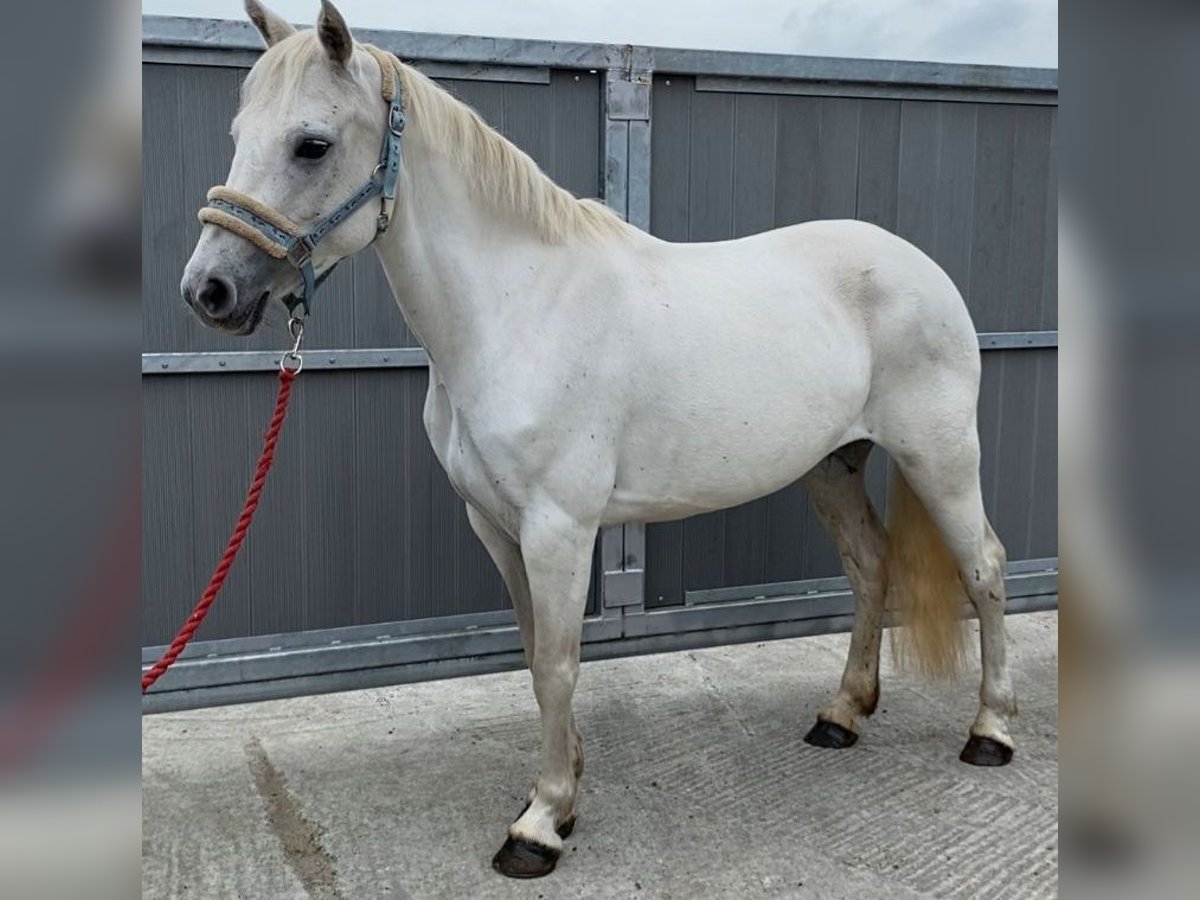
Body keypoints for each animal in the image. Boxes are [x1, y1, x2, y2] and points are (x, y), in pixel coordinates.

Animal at [177, 0, 1017, 873]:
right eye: (240, 132)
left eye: (312, 143)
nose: (209, 290)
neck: (518, 310)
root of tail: (922, 269)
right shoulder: (495, 524)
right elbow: (532, 653)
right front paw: (563, 786)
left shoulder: (560, 528)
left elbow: (558, 664)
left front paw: (541, 823)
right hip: (832, 465)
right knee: (869, 568)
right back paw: (842, 715)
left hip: (940, 457)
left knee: (984, 567)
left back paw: (990, 730)